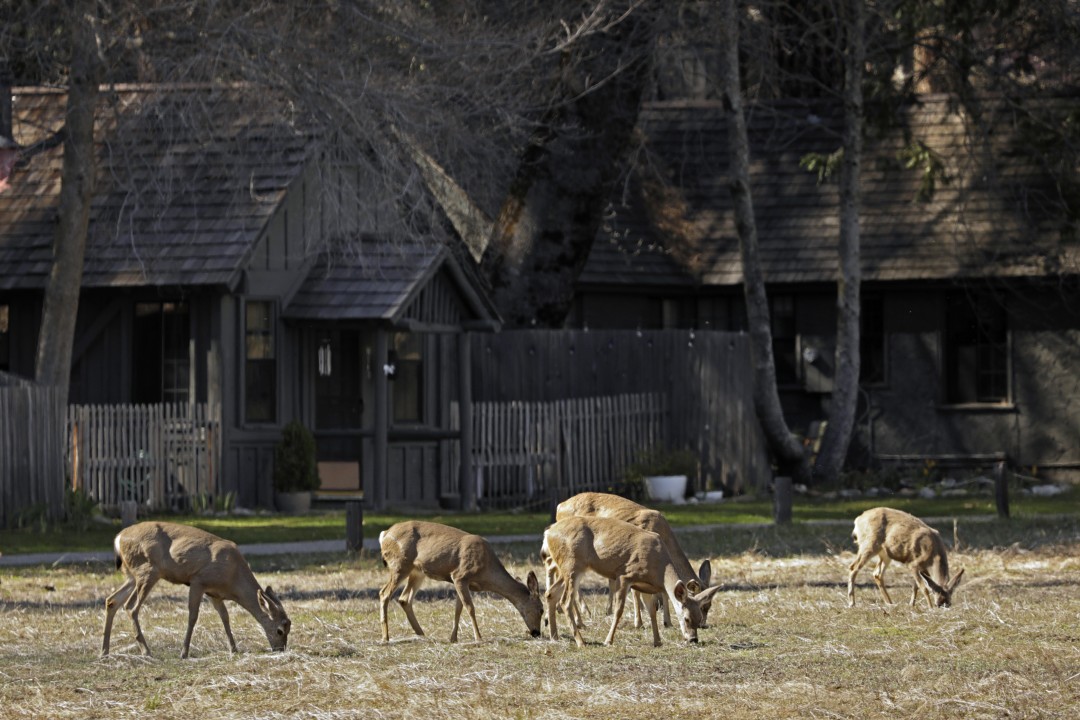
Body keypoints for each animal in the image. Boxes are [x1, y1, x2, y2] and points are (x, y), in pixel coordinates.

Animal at [101, 520, 291, 660]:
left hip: (132, 575)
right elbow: (193, 616)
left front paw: (234, 649)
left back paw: (104, 652)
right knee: (131, 607)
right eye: (280, 630)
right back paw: (146, 652)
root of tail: (119, 538)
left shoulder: (215, 594)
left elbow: (225, 617)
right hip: (147, 570)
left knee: (112, 600)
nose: (280, 649)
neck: (232, 578)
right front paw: (184, 653)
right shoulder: (198, 580)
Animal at [382, 520, 548, 643]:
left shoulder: (462, 582)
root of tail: (385, 534)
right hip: (400, 565)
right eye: (541, 609)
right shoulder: (460, 575)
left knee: (404, 599)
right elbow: (470, 608)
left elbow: (458, 609)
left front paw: (453, 638)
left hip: (417, 571)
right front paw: (479, 638)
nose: (537, 633)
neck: (486, 571)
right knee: (384, 593)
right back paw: (386, 637)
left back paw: (422, 634)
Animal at [537, 515, 717, 651]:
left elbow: (652, 611)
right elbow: (619, 610)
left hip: (570, 568)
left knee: (550, 593)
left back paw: (554, 637)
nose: (693, 639)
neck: (659, 567)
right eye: (686, 619)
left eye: (699, 617)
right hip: (572, 564)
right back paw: (581, 642)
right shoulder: (624, 575)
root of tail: (548, 532)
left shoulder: (646, 585)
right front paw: (608, 641)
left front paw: (658, 641)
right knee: (565, 601)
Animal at [552, 492, 712, 626]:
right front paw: (639, 622)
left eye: (708, 606)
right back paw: (580, 616)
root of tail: (559, 506)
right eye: (702, 606)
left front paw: (667, 622)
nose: (702, 624)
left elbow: (663, 590)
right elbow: (637, 592)